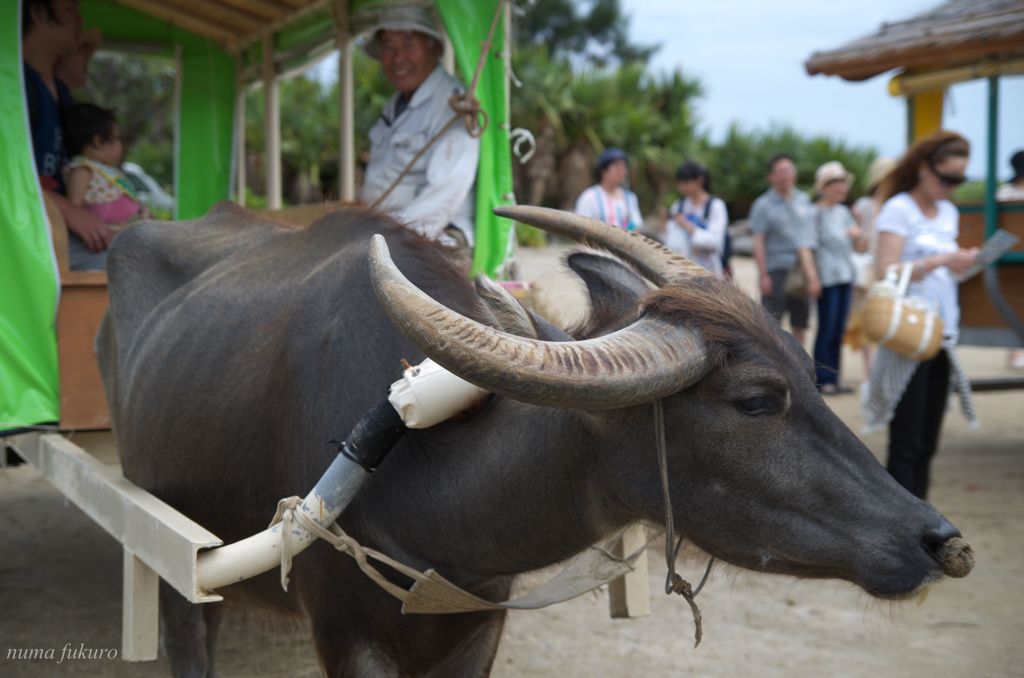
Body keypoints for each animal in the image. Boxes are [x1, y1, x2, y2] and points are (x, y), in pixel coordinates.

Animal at [99, 204, 970, 678]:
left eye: (809, 367)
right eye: (757, 399)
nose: (940, 540)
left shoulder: (478, 626)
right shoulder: (344, 634)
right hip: (170, 557)